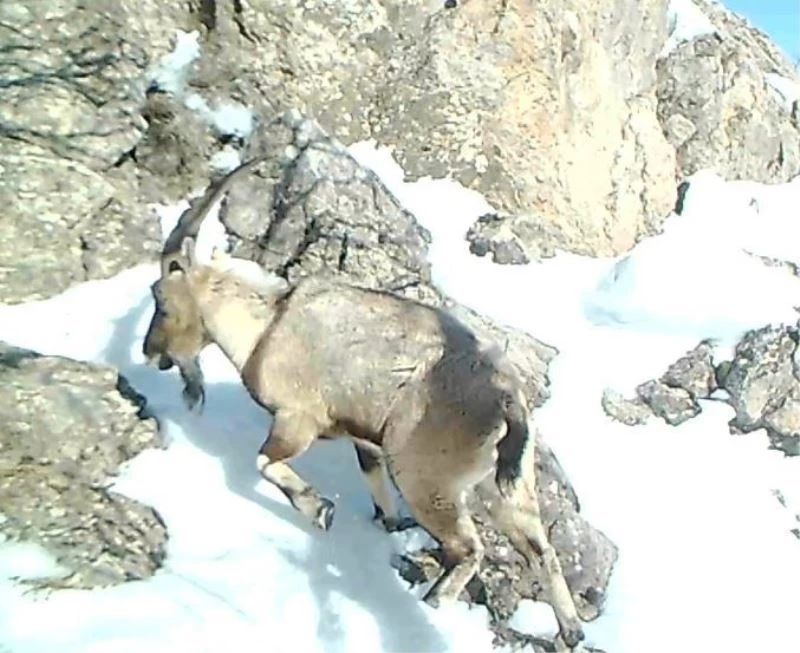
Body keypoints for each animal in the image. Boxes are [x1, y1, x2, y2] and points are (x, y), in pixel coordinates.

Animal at [141, 157, 584, 648]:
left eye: (161, 299)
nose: (151, 352)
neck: (266, 327)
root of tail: (506, 400)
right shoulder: (364, 439)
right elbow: (371, 479)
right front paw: (388, 523)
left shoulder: (298, 418)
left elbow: (265, 462)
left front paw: (319, 509)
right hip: (508, 487)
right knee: (541, 550)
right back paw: (571, 631)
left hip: (425, 475)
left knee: (469, 547)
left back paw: (433, 601)